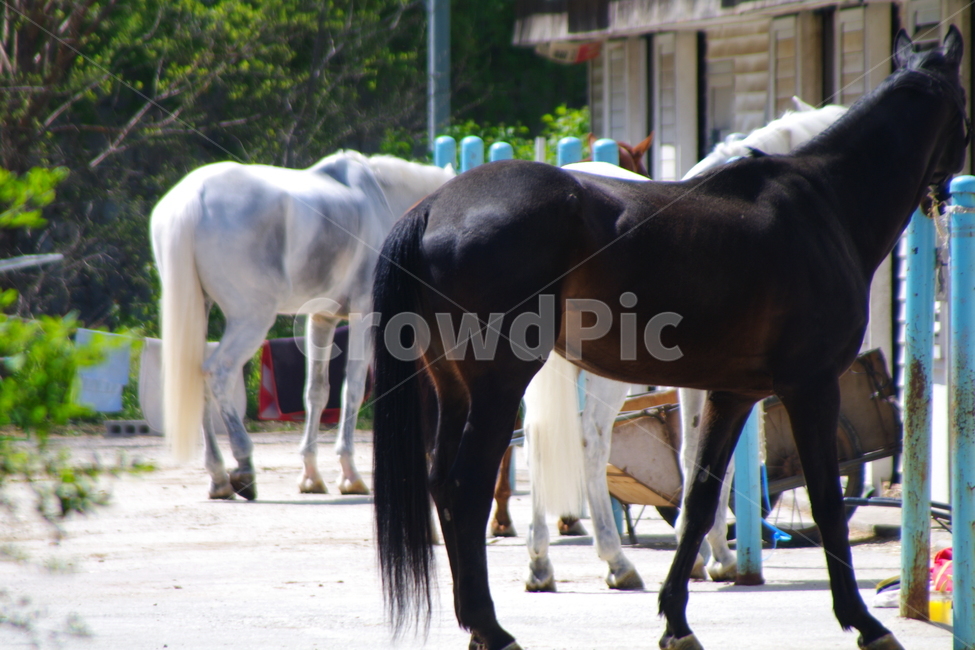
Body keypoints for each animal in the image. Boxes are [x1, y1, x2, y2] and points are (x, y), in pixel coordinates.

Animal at [150, 151, 454, 499]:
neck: (384, 201)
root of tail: (192, 199)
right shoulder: (365, 314)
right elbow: (353, 389)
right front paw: (350, 475)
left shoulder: (321, 318)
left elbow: (317, 392)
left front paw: (311, 475)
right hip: (251, 319)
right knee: (218, 374)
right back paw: (243, 466)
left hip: (201, 311)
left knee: (198, 378)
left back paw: (218, 478)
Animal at [509, 97, 849, 595]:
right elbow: (716, 463)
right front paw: (719, 555)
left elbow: (694, 456)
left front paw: (698, 554)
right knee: (591, 439)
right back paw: (617, 561)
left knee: (536, 439)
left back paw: (539, 565)